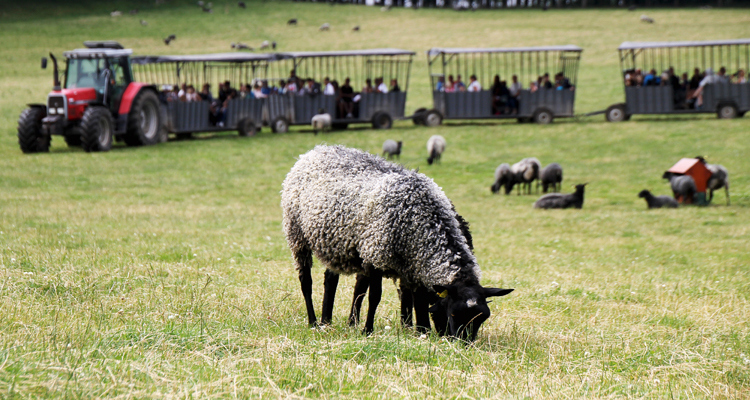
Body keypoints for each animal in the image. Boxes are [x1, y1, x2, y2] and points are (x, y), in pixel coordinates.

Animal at [280, 145, 516, 340]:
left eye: (482, 317)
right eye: (454, 313)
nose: (464, 343)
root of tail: (314, 151)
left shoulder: (413, 265)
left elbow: (416, 299)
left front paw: (421, 331)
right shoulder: (377, 255)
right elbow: (375, 296)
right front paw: (368, 330)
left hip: (337, 243)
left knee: (332, 280)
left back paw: (328, 321)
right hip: (297, 234)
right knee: (306, 281)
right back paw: (313, 322)